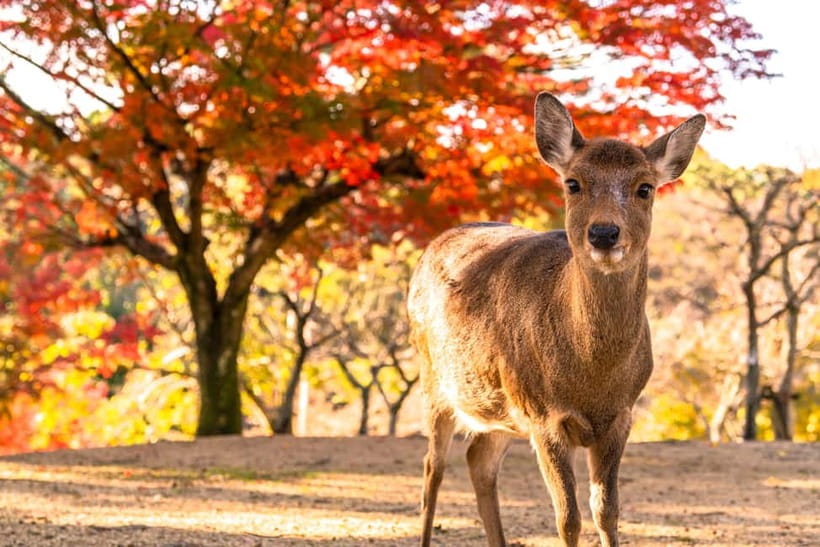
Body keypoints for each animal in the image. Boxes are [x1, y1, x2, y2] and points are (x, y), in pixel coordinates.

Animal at [407, 92, 705, 547]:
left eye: (645, 187)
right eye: (573, 183)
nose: (604, 233)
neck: (591, 377)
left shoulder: (621, 415)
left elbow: (607, 512)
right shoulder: (543, 415)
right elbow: (568, 517)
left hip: (499, 406)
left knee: (479, 460)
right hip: (435, 378)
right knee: (431, 469)